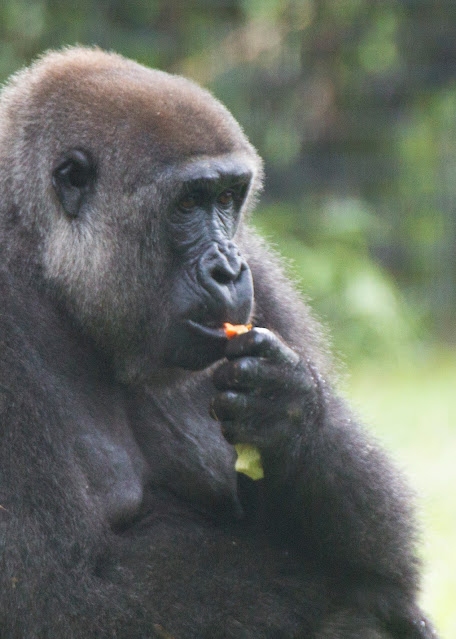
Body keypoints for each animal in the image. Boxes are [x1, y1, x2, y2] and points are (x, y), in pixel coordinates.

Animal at [0, 47, 438, 638]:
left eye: (228, 197)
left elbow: (383, 562)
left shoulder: (264, 276)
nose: (229, 270)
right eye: (188, 202)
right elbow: (58, 594)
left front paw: (292, 410)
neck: (46, 259)